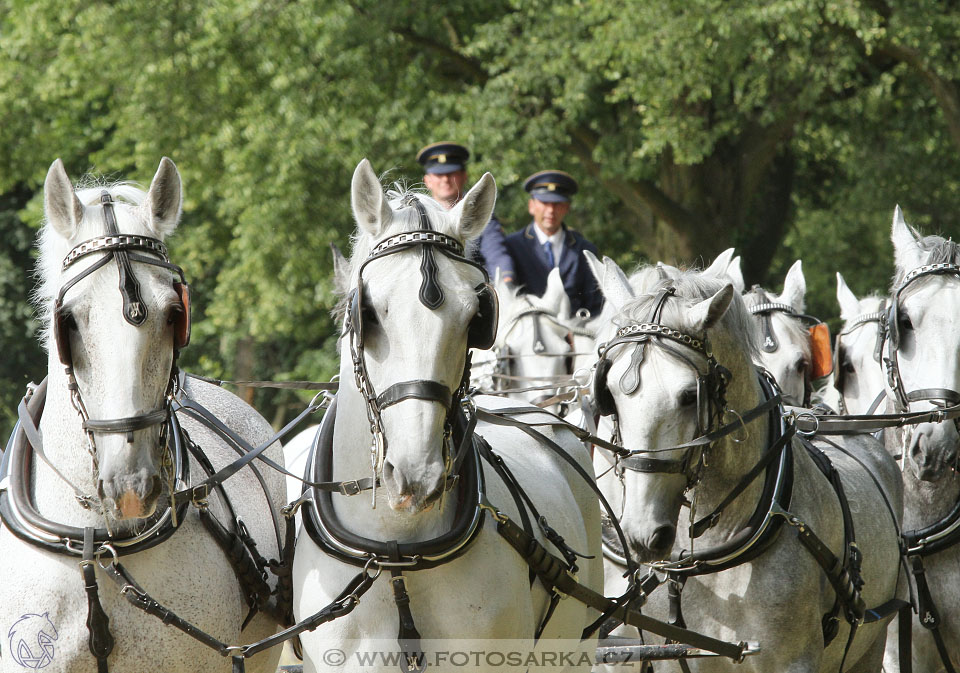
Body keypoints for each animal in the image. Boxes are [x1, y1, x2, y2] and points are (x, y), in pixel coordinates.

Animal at [588, 258, 904, 672]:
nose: (643, 534)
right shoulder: (667, 656)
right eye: (608, 393)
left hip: (871, 646)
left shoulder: (793, 661)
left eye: (689, 396)